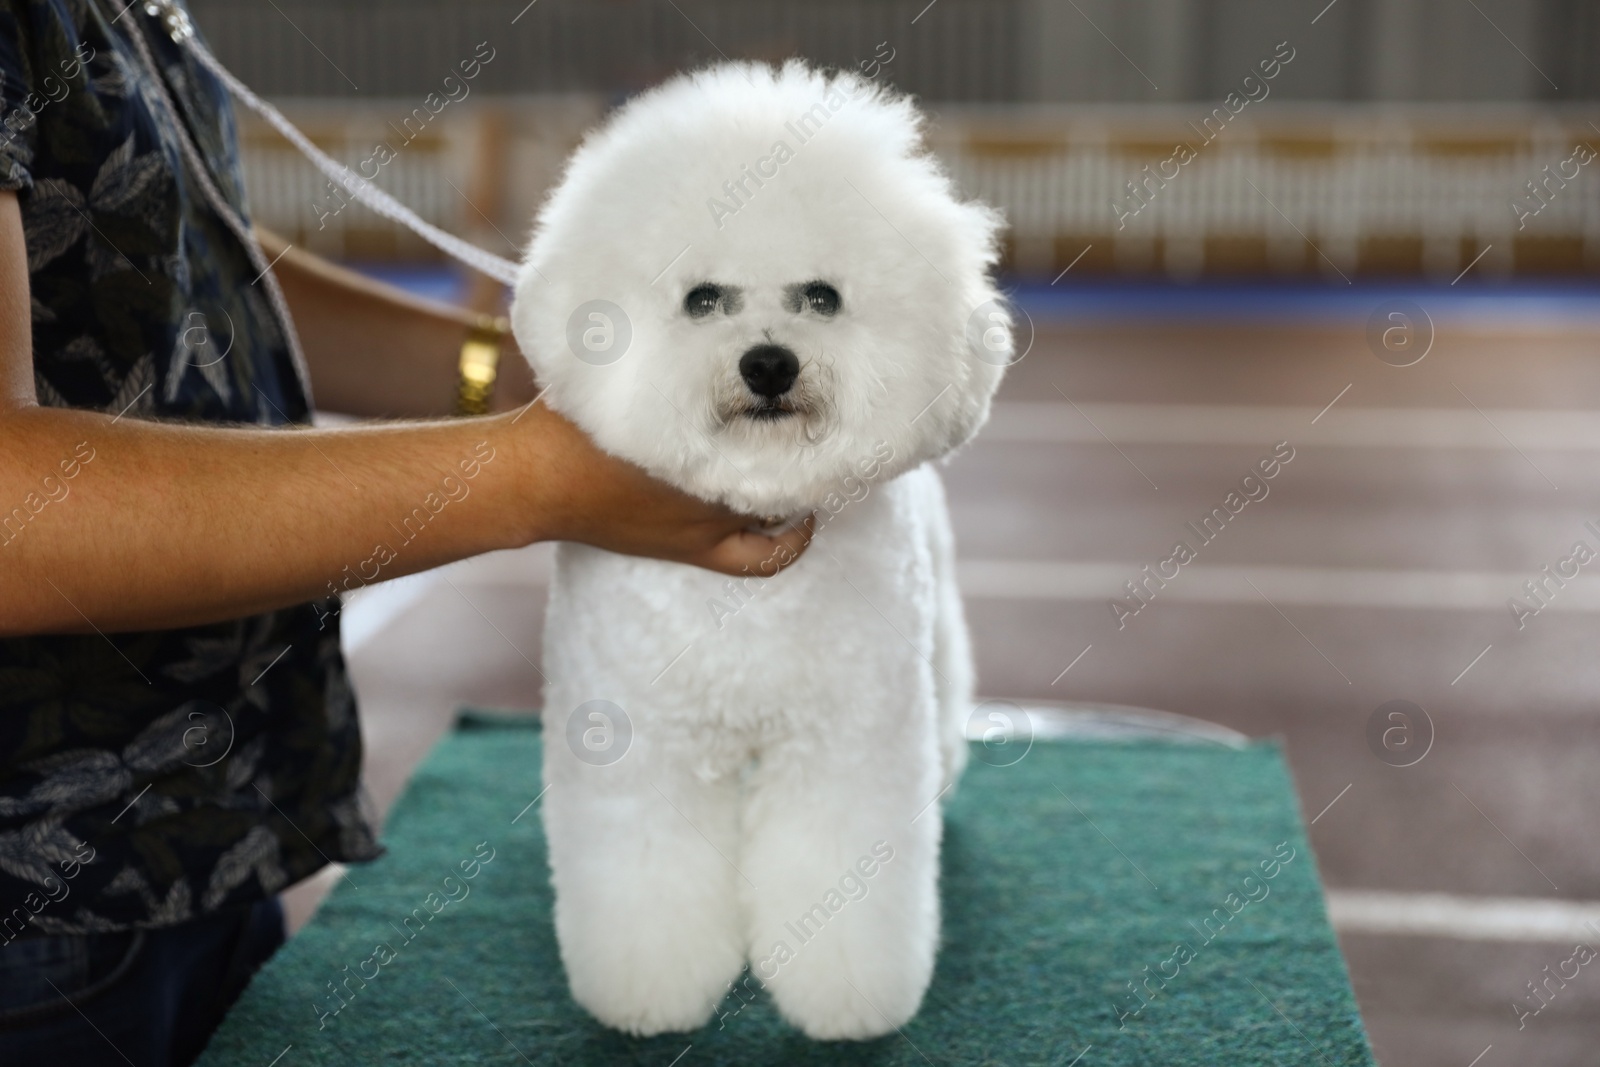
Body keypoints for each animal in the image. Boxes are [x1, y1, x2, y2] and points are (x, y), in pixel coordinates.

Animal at [512, 60, 1011, 1043]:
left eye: (822, 296)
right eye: (703, 299)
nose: (769, 364)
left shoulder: (846, 739)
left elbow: (842, 868)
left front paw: (846, 999)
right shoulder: (638, 743)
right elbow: (646, 874)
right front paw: (650, 991)